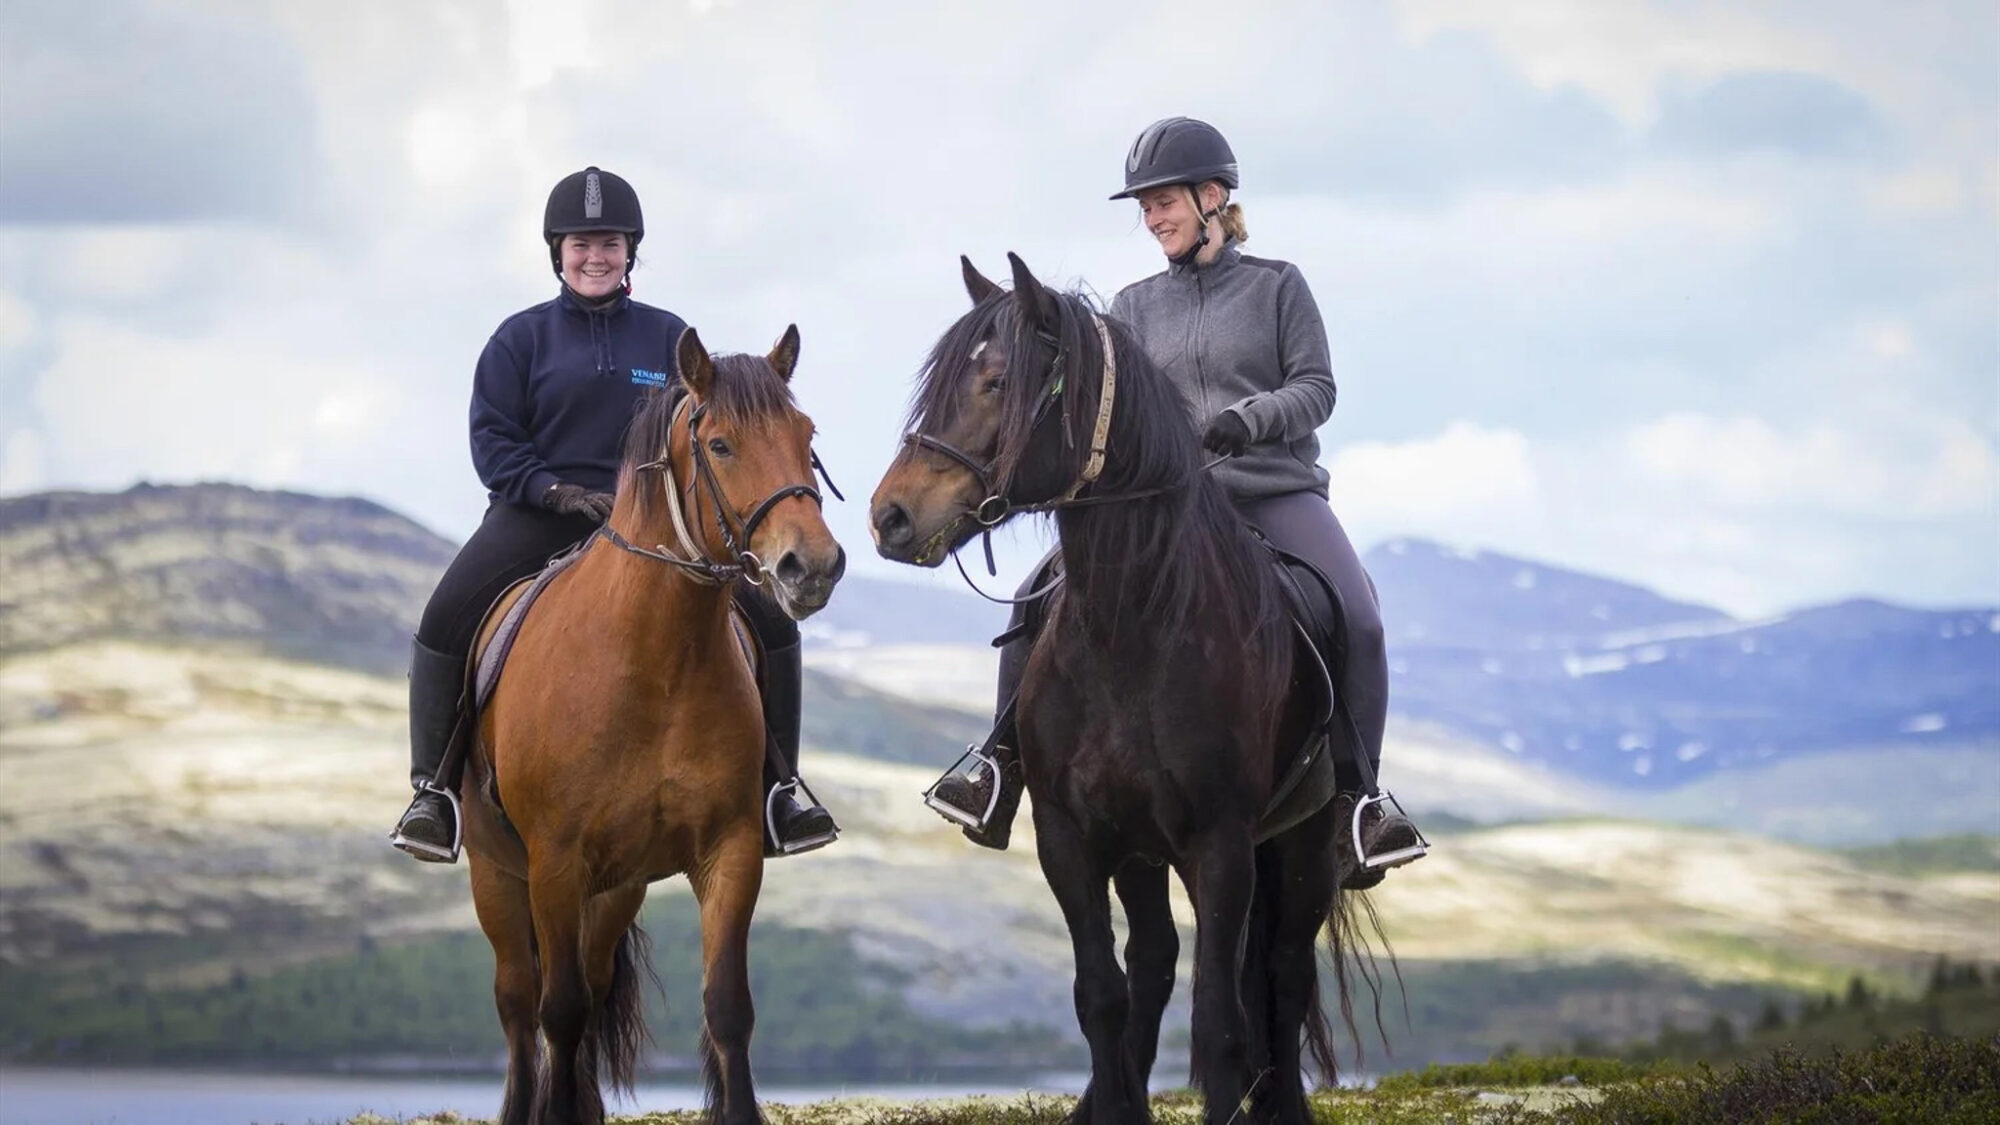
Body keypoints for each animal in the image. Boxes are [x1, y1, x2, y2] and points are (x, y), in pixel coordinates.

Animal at [460, 325, 845, 1125]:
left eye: (806, 435)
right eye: (721, 444)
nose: (813, 566)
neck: (653, 660)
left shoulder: (730, 850)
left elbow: (727, 1007)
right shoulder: (554, 863)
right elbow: (558, 1010)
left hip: (615, 889)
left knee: (592, 981)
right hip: (497, 874)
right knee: (519, 1002)